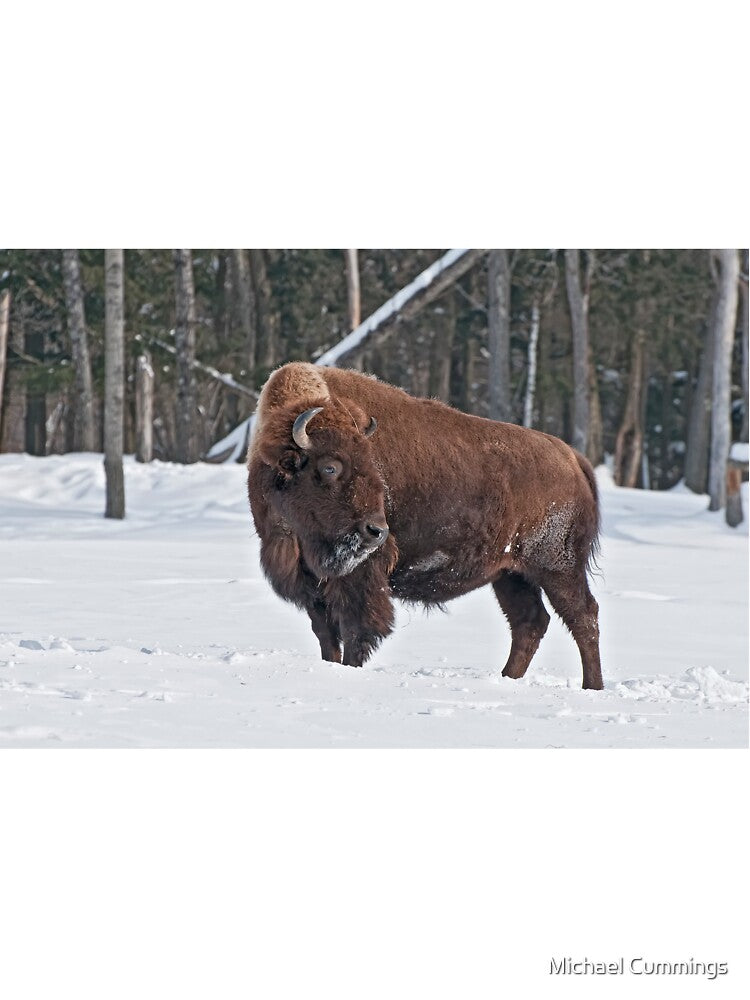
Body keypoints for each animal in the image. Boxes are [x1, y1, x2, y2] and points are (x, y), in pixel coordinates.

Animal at [248, 362, 603, 689]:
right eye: (330, 467)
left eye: (370, 463)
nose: (376, 531)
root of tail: (571, 457)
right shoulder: (311, 582)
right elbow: (326, 635)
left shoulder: (359, 578)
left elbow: (355, 630)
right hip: (510, 573)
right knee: (530, 622)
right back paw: (506, 679)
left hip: (558, 568)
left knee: (583, 617)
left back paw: (592, 687)